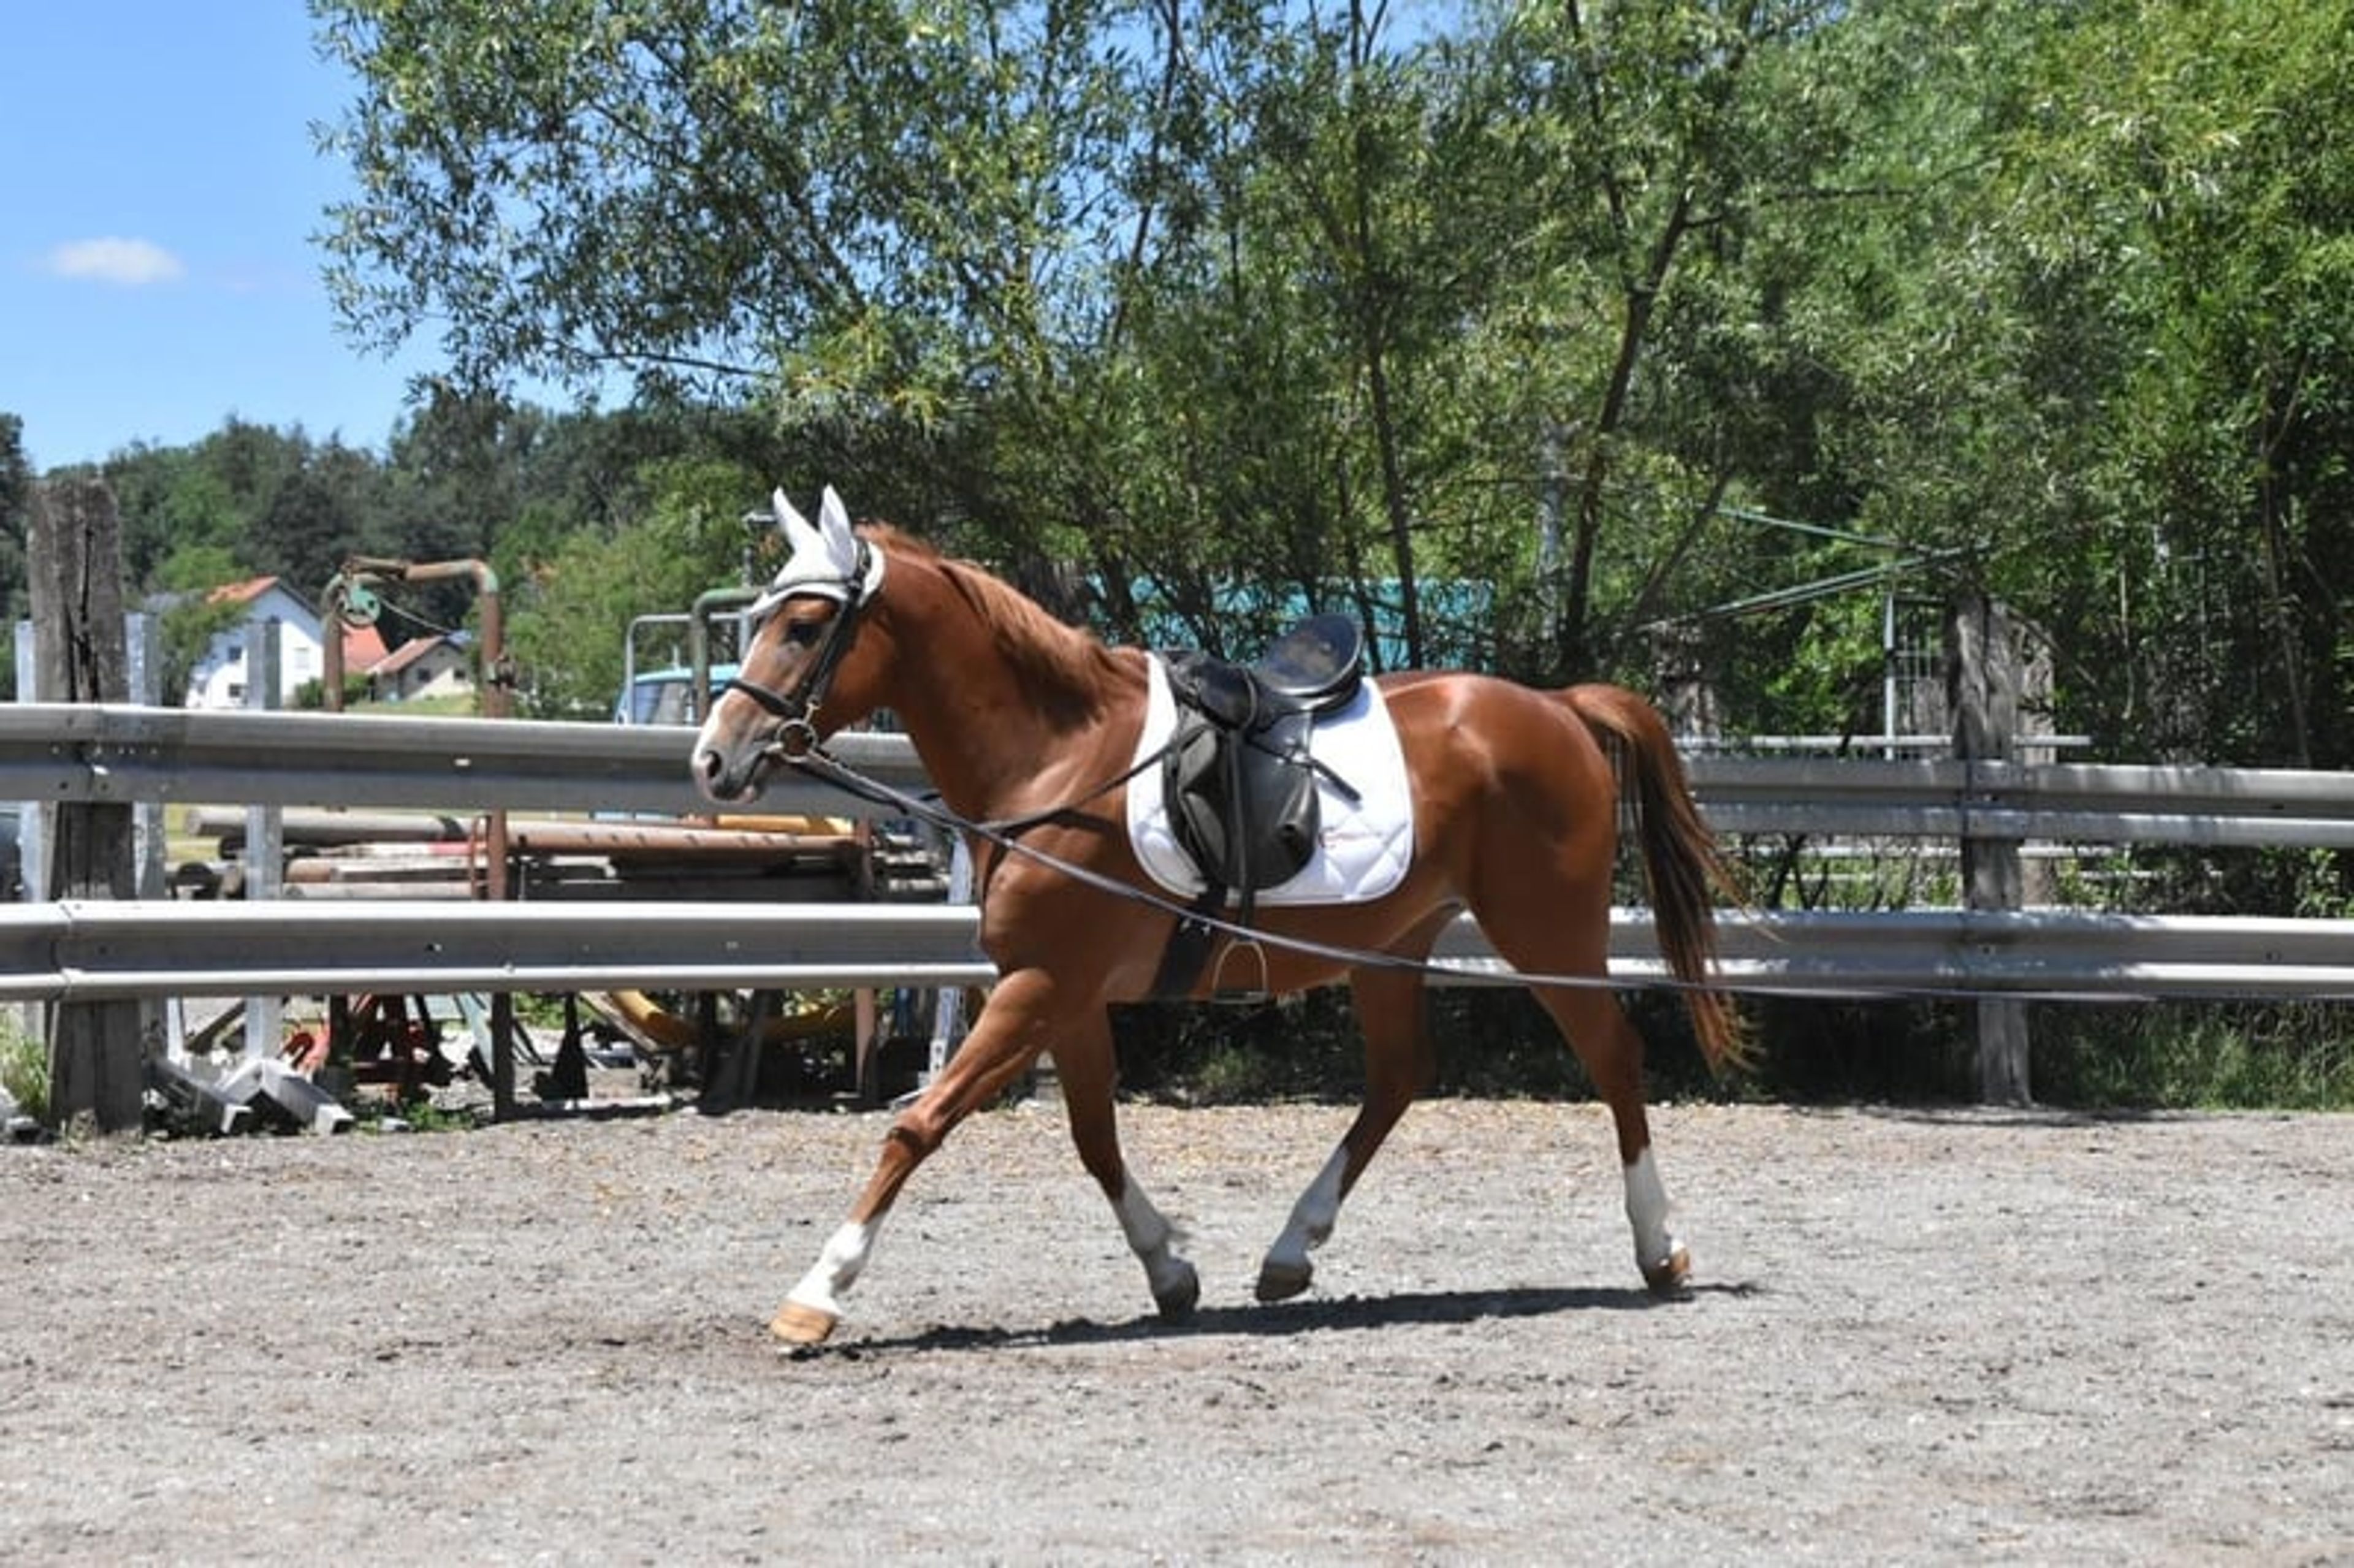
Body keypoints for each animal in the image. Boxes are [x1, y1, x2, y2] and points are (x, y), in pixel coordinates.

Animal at [692, 487, 1742, 1346]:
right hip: (1389, 945)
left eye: (804, 625)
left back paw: (1662, 1248)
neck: (1057, 762)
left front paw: (816, 1293)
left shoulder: (1040, 986)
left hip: (1545, 931)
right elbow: (1093, 1136)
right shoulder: (1066, 996)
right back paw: (1290, 1251)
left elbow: (919, 1125)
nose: (712, 759)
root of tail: (1560, 708)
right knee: (1399, 1079)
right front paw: (1170, 1269)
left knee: (1612, 1057)